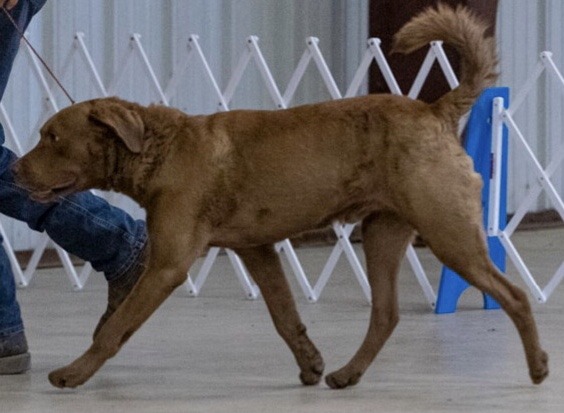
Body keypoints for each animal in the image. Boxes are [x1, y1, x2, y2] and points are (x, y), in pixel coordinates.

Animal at [14, 4, 552, 390]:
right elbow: (284, 314)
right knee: (386, 313)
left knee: (514, 294)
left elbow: (116, 326)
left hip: (448, 230)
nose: (15, 168)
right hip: (384, 230)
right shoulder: (257, 249)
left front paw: (73, 373)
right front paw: (310, 363)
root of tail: (435, 111)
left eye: (51, 137)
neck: (159, 149)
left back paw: (538, 367)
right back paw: (346, 374)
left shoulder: (168, 265)